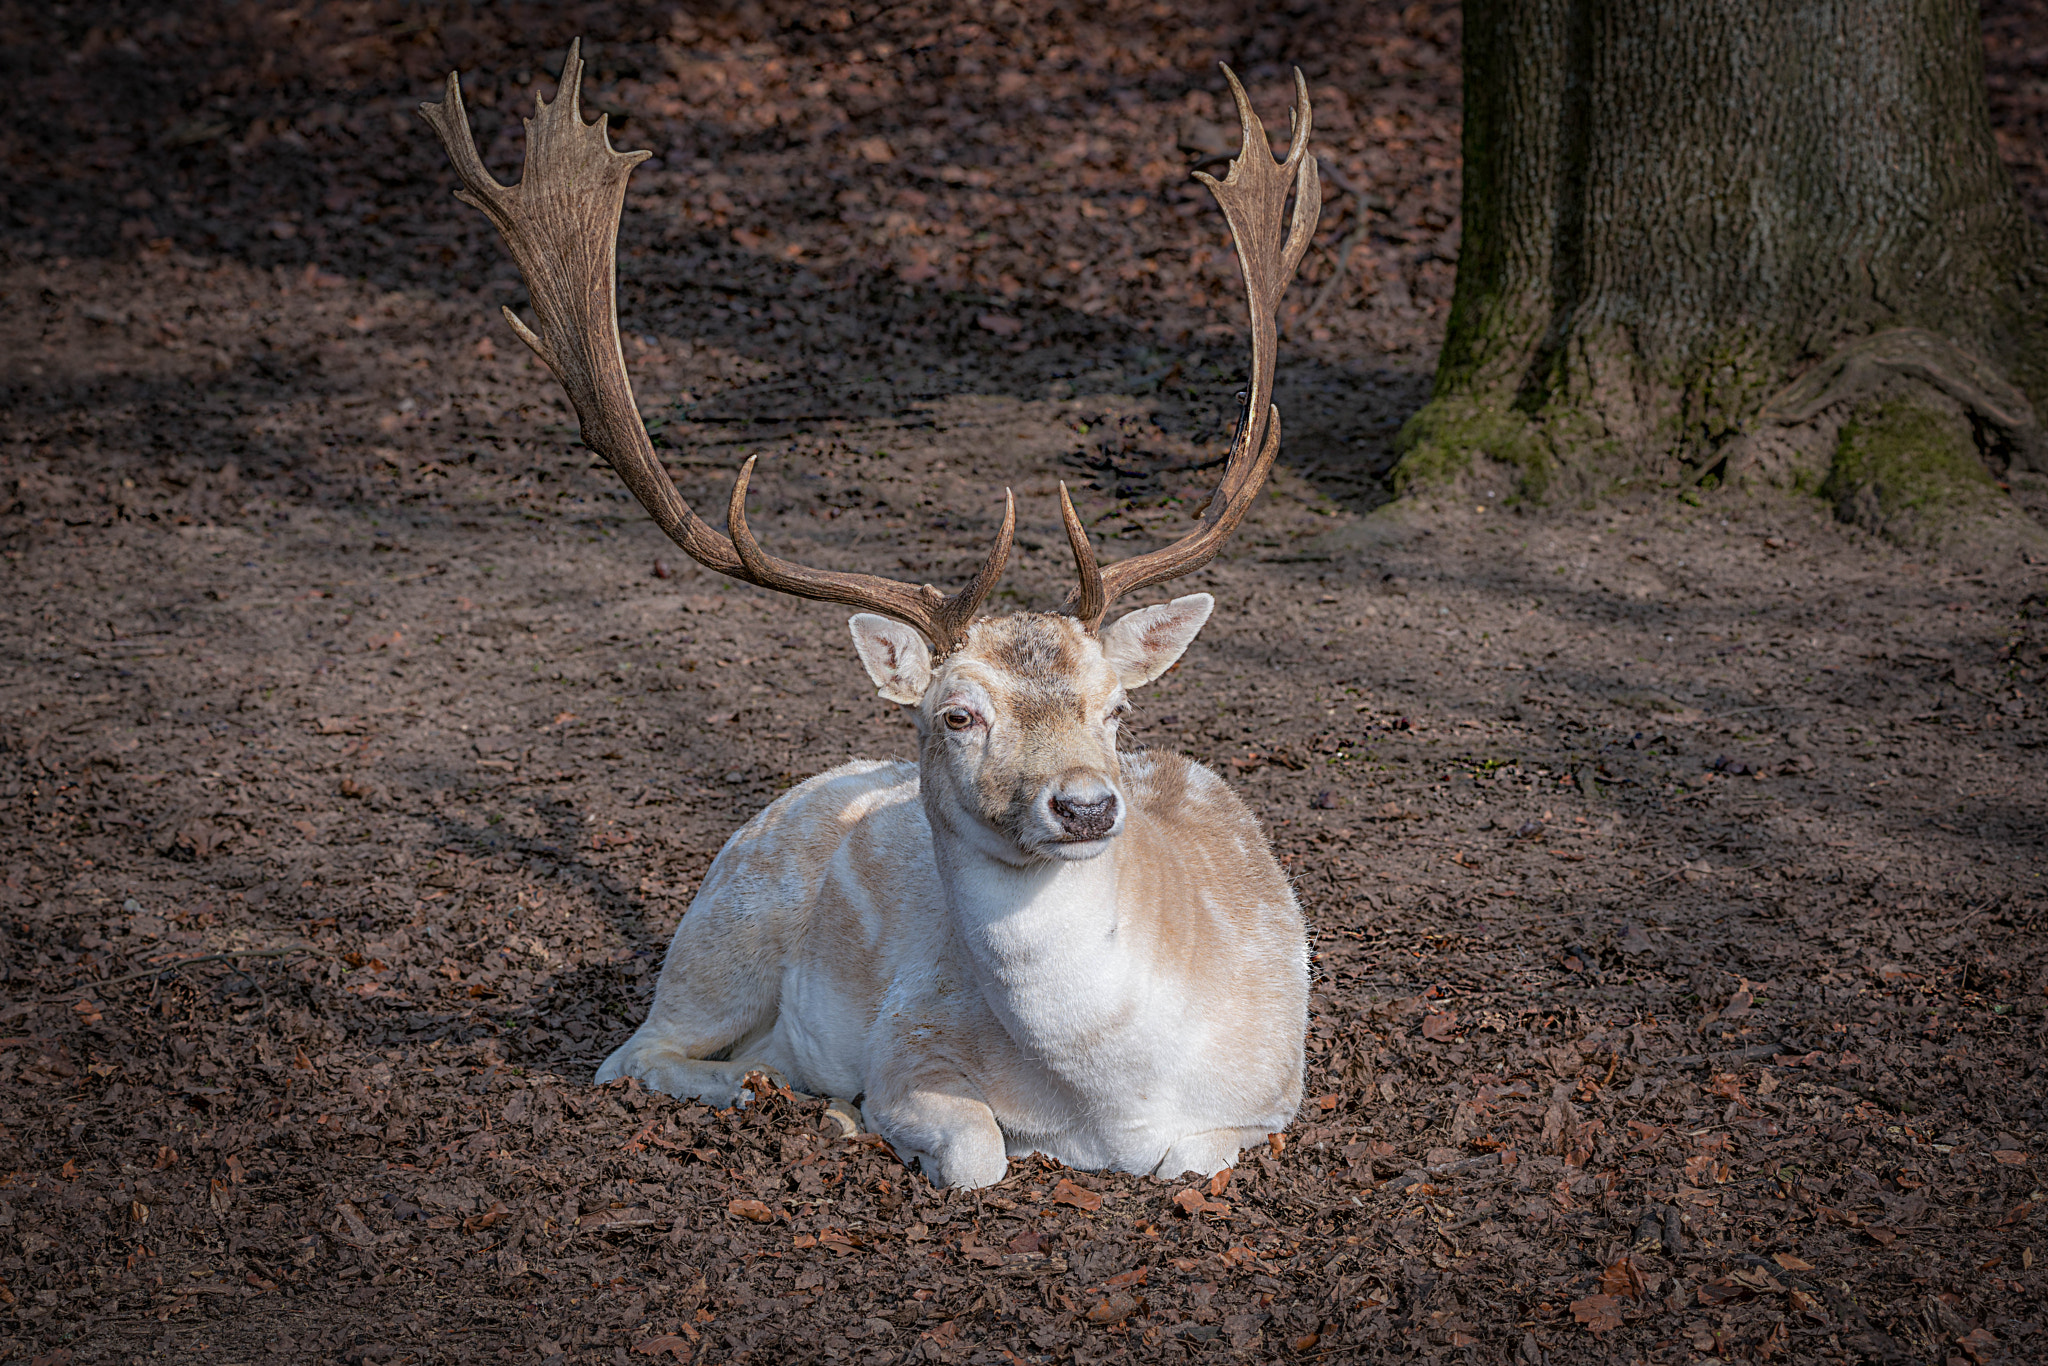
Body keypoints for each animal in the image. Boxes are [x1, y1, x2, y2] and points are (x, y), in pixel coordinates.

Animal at [420, 42, 1320, 1188]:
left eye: (1117, 709)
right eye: (957, 714)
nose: (1084, 807)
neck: (1109, 1094)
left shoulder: (1273, 1091)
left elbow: (1190, 1159)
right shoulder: (910, 1045)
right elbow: (977, 1150)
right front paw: (871, 1121)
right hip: (719, 936)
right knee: (632, 1055)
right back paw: (783, 1093)